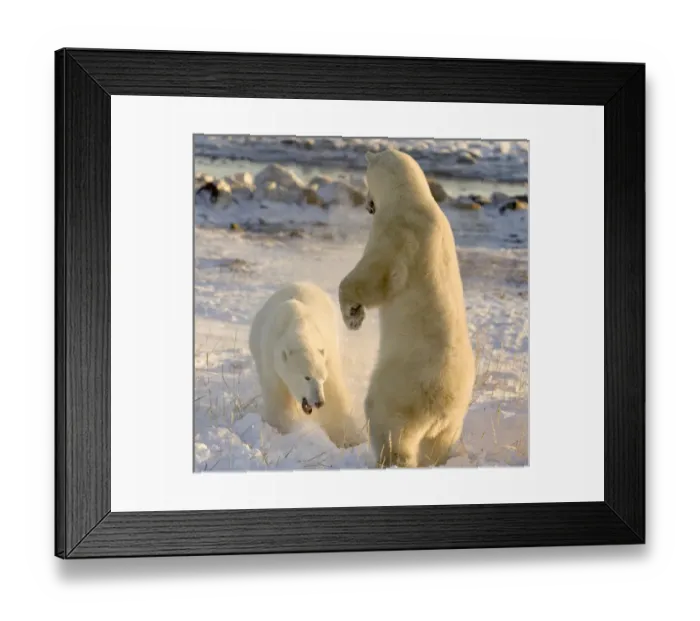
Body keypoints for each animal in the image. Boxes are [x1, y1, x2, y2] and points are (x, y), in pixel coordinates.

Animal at [249, 281, 367, 449]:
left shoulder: (327, 355)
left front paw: (351, 439)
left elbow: (334, 395)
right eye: (306, 377)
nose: (319, 402)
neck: (299, 325)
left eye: (322, 378)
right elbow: (278, 398)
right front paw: (287, 428)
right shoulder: (271, 361)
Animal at [338, 148, 476, 468]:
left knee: (388, 426)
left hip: (400, 386)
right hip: (454, 418)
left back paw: (388, 460)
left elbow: (374, 275)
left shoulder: (396, 233)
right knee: (438, 445)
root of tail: (441, 404)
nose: (367, 204)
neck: (412, 196)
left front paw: (353, 315)